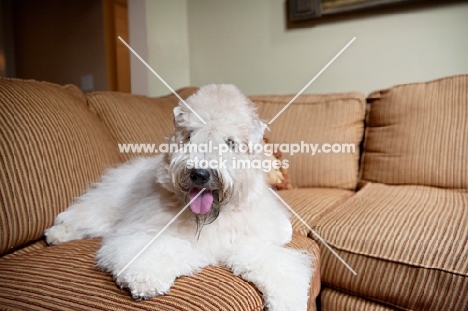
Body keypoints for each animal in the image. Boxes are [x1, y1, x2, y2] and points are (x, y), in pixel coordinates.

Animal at [44, 84, 314, 310]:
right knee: (80, 216)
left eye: (230, 142)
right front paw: (146, 280)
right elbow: (152, 251)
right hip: (106, 206)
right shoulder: (147, 231)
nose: (200, 174)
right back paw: (56, 234)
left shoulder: (249, 242)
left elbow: (276, 265)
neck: (208, 218)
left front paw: (287, 301)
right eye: (190, 135)